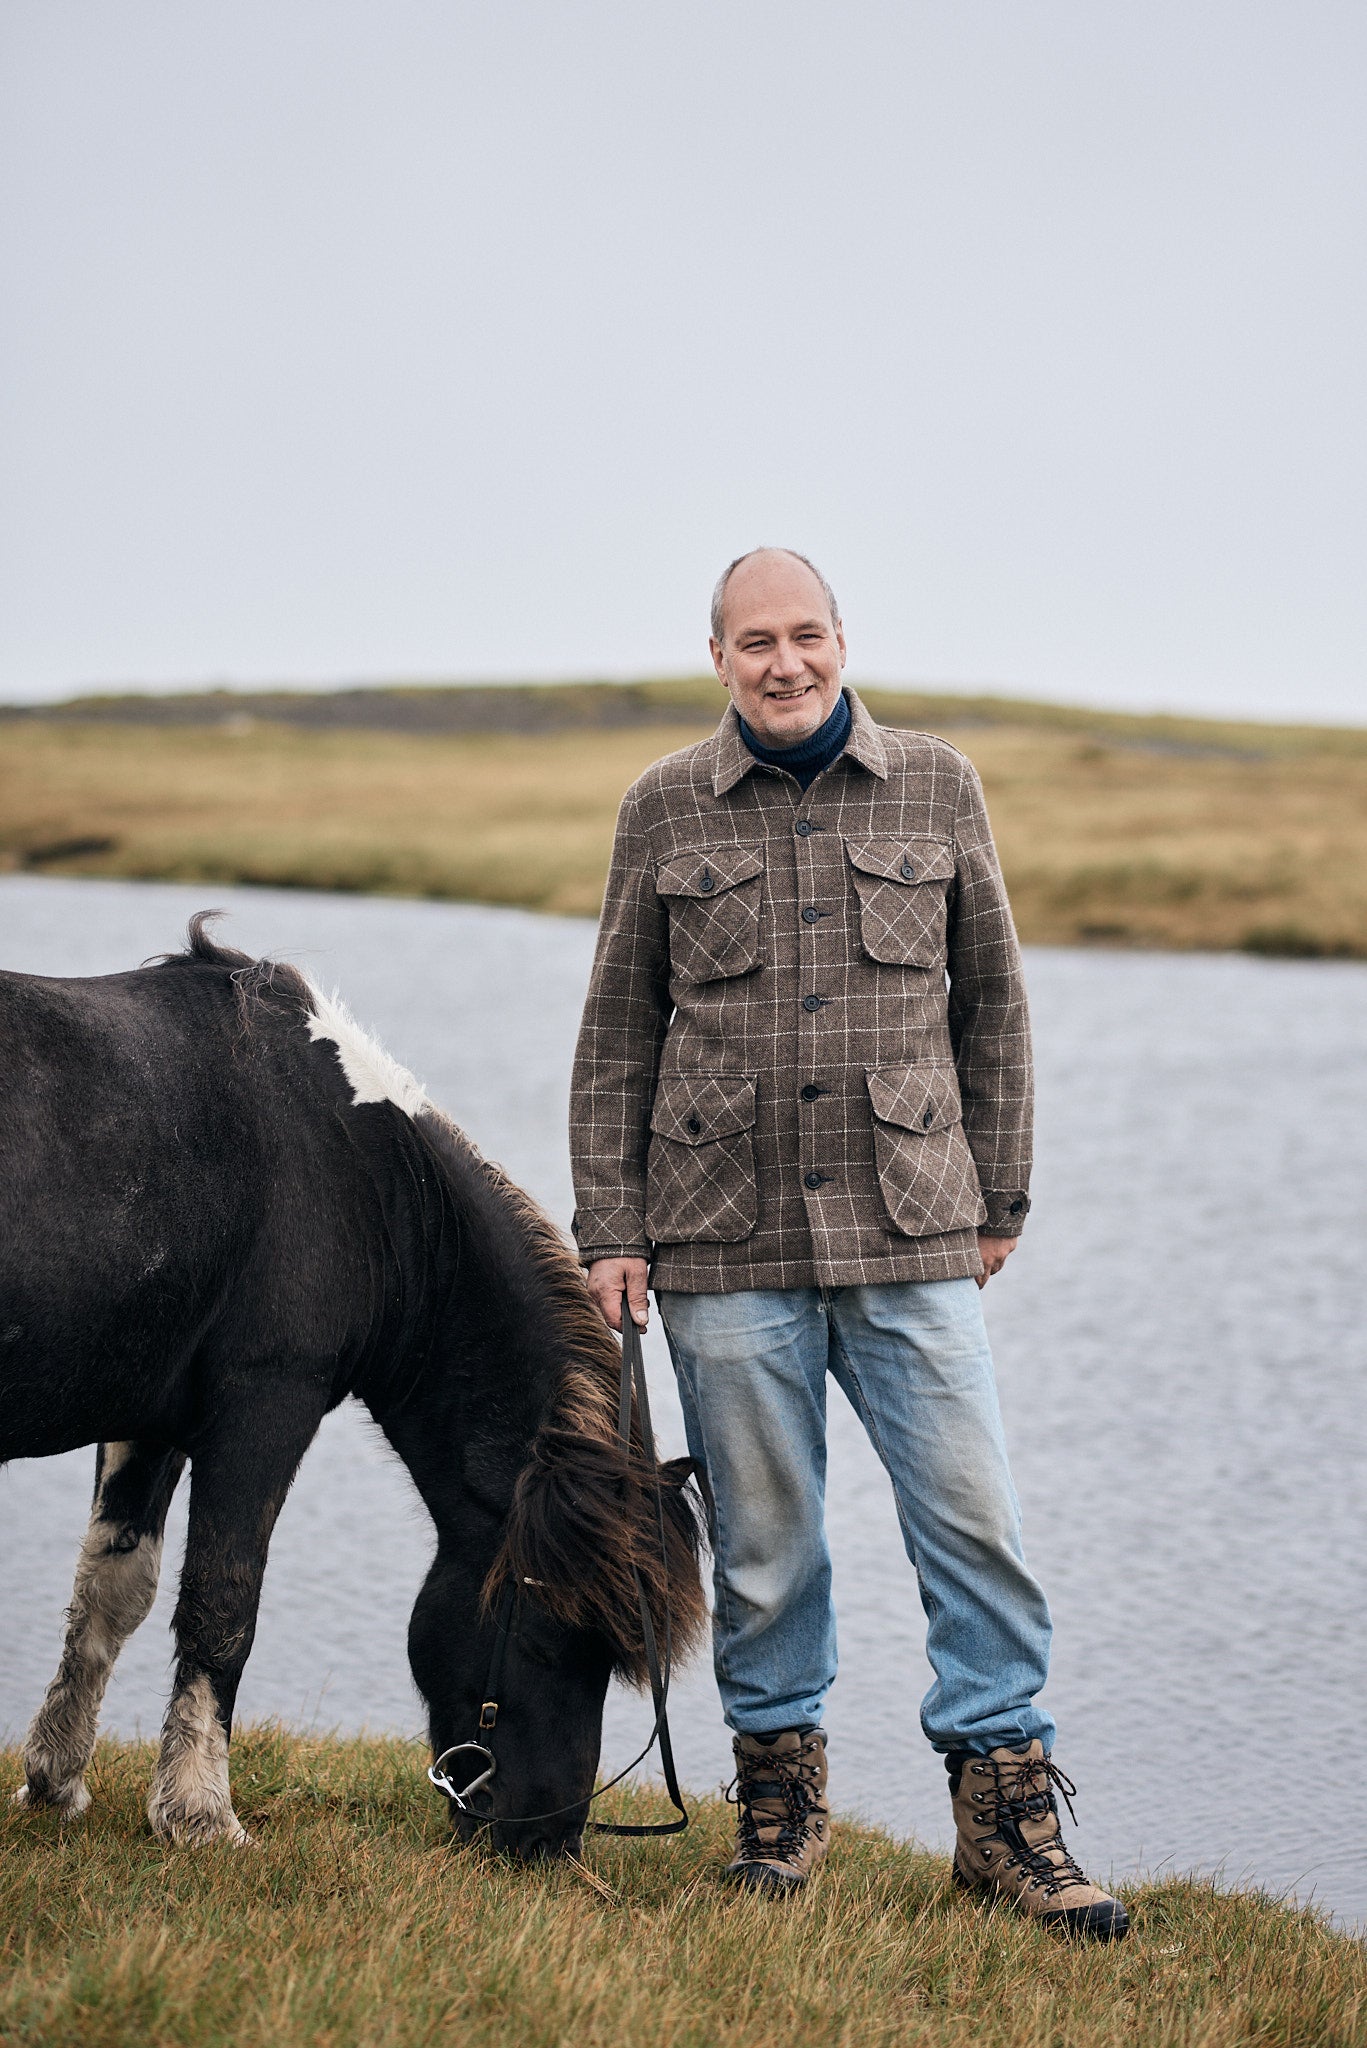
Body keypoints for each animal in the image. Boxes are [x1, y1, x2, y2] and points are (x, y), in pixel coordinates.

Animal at [0, 917, 705, 1859]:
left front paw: (56, 1783)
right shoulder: (264, 1405)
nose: (546, 1840)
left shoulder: (148, 1417)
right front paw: (200, 1815)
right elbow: (222, 1604)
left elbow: (112, 1593)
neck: (357, 1173)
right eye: (557, 1635)